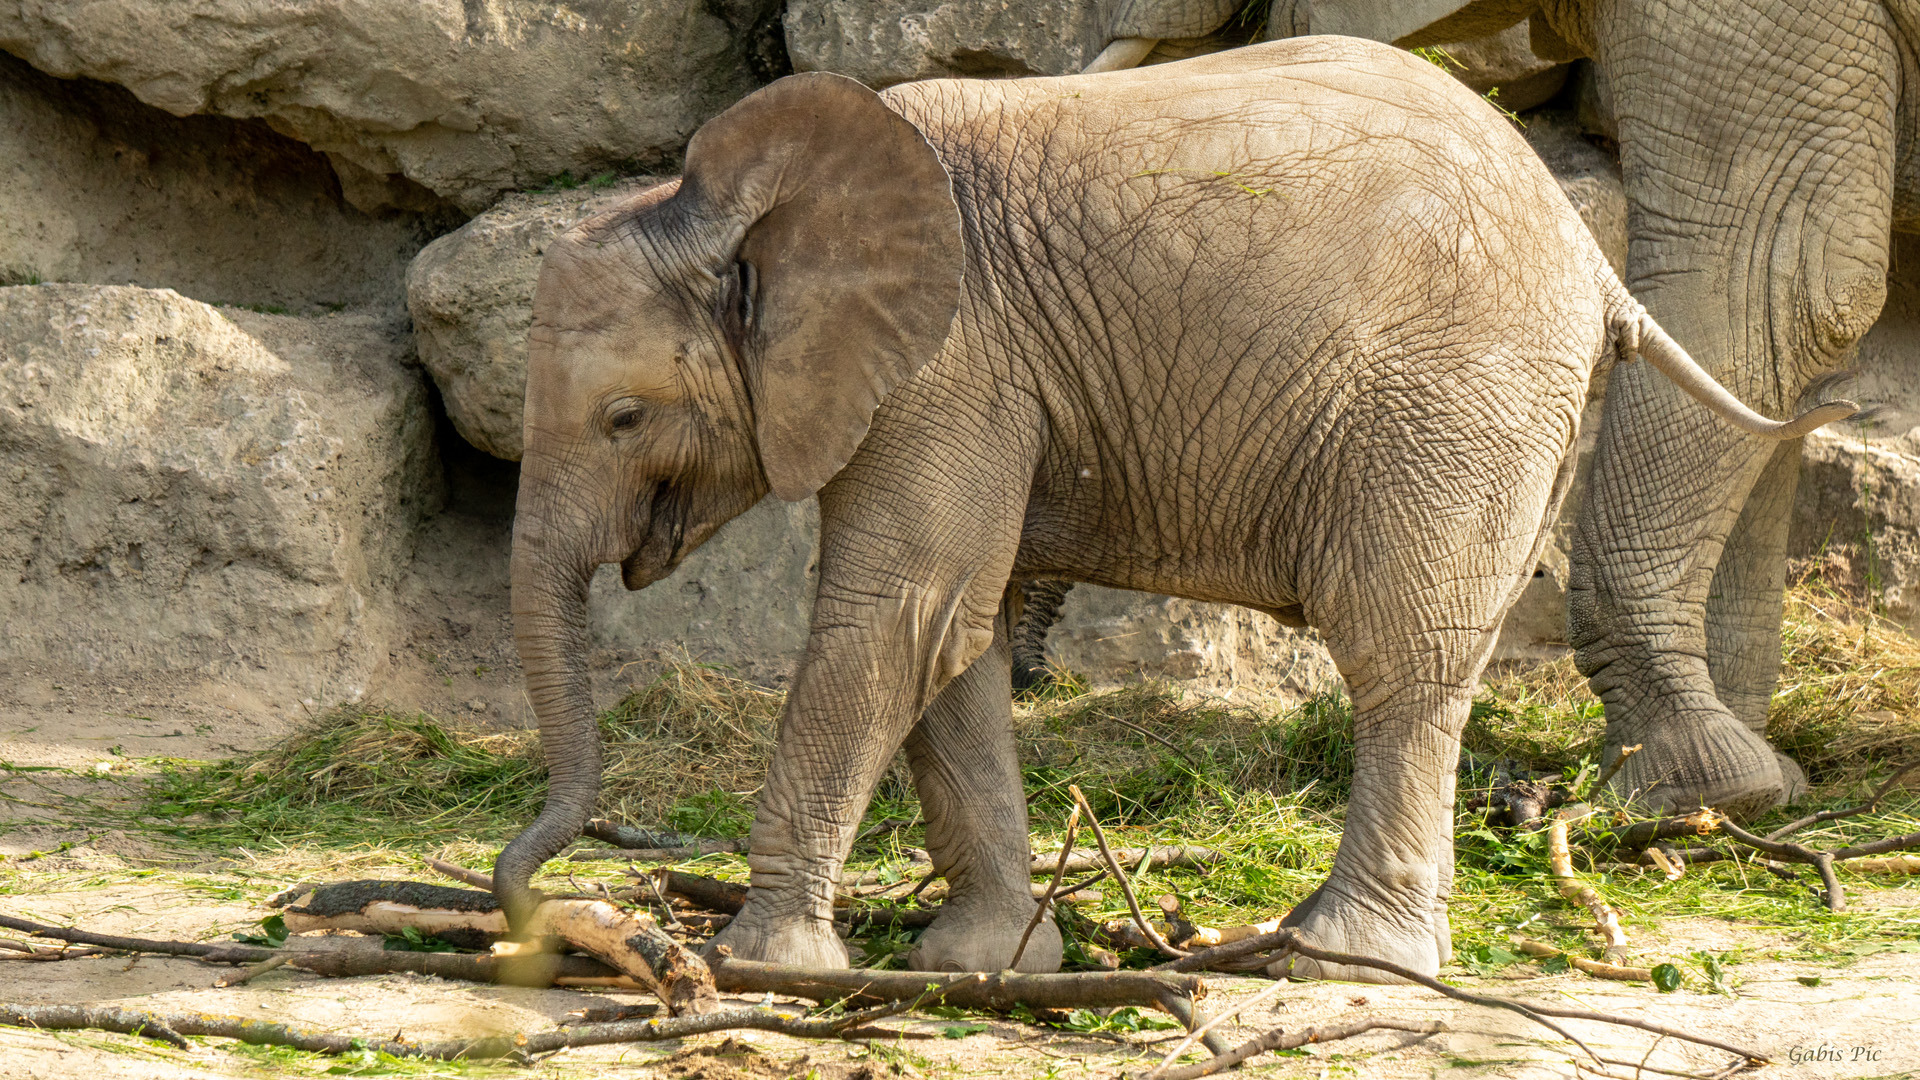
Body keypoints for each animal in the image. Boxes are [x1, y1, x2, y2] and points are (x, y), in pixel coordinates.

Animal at [491, 35, 1843, 976]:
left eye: (622, 418)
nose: (536, 907)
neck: (731, 211)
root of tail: (1595, 259)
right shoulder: (968, 379)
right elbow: (955, 637)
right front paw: (989, 961)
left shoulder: (951, 364)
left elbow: (898, 616)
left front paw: (760, 961)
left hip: (1456, 404)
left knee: (1401, 650)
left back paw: (1340, 957)